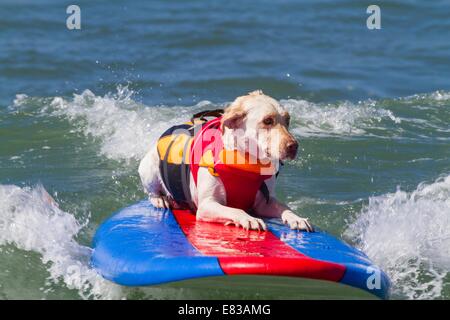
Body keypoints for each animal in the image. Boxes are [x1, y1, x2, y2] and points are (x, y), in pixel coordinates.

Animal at [140, 91, 312, 231]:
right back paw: (160, 199)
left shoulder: (264, 203)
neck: (246, 165)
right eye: (267, 120)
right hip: (148, 169)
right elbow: (235, 209)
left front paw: (297, 218)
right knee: (151, 192)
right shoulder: (207, 205)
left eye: (287, 120)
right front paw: (249, 219)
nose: (294, 146)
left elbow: (284, 207)